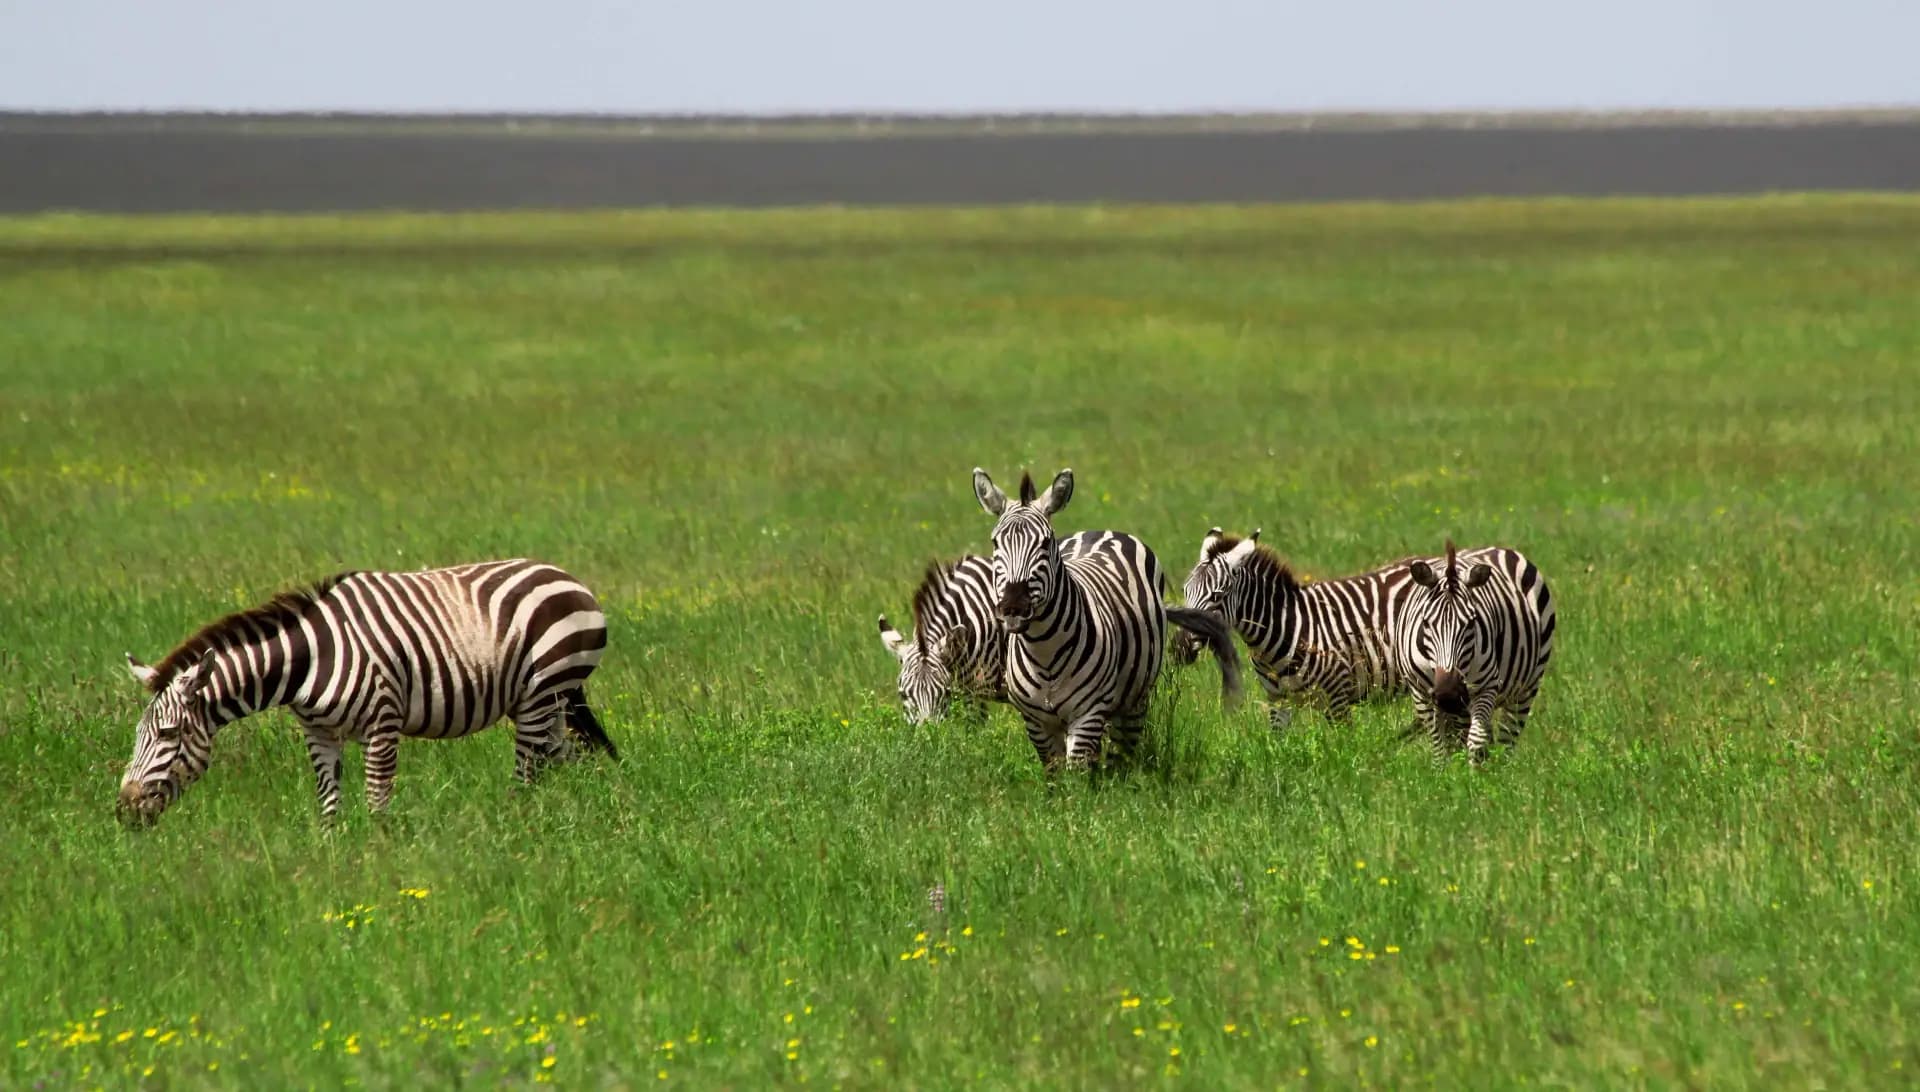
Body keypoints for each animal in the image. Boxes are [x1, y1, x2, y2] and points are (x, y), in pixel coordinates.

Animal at [116, 559, 612, 824]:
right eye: (137, 736)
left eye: (167, 735)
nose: (124, 810)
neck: (310, 660)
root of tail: (567, 577)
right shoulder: (318, 734)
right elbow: (329, 804)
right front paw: (334, 860)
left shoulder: (383, 724)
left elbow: (377, 803)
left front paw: (379, 860)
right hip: (544, 701)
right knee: (568, 759)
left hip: (542, 693)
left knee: (528, 773)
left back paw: (519, 827)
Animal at [972, 467, 1242, 768]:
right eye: (995, 543)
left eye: (1045, 543)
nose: (1013, 606)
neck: (1044, 653)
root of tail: (1103, 531)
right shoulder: (1035, 722)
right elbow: (1056, 774)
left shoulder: (1088, 714)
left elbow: (1077, 774)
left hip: (1134, 700)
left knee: (1123, 754)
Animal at [1394, 540, 1556, 764]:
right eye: (1426, 623)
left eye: (1471, 623)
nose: (1448, 695)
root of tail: (1498, 548)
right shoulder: (1419, 691)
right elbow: (1439, 747)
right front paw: (1445, 771)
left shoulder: (1487, 686)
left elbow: (1476, 743)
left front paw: (1472, 773)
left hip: (1526, 688)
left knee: (1506, 739)